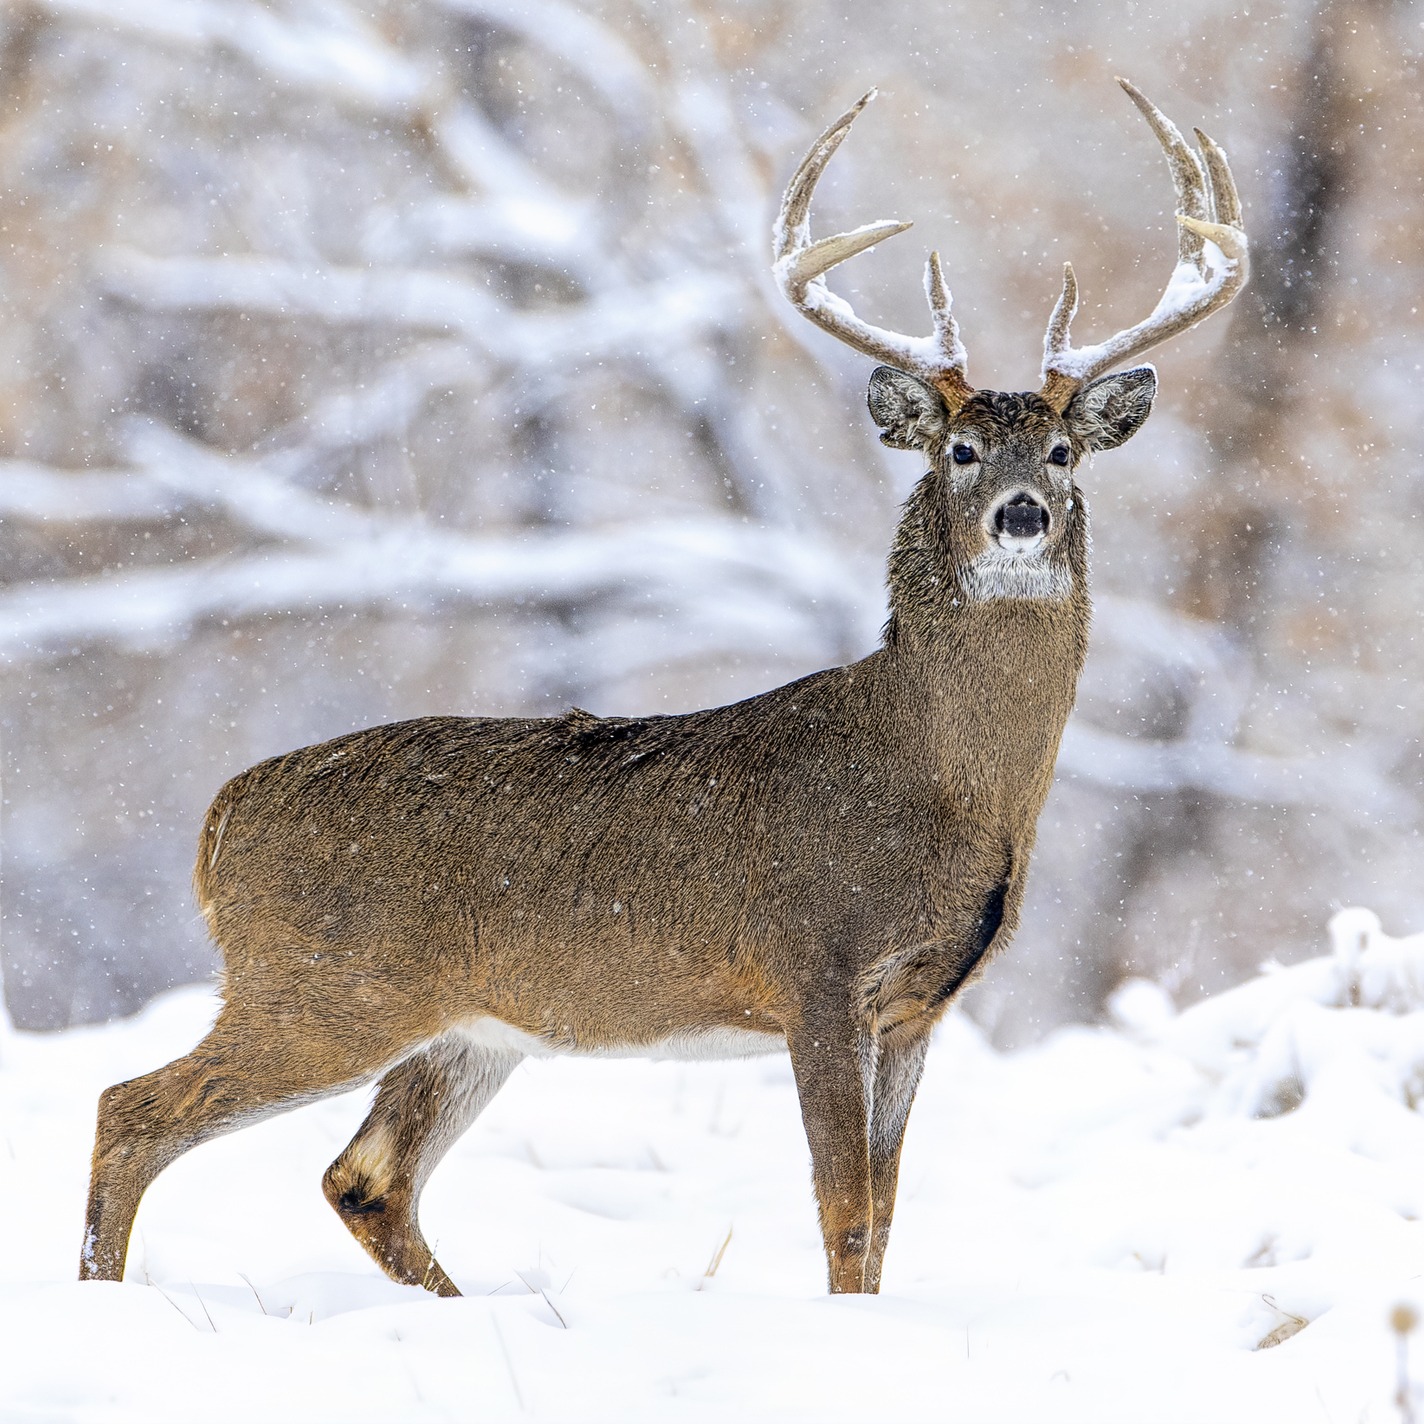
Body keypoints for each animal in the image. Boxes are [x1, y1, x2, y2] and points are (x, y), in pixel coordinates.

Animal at [79, 80, 1247, 1297]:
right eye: (959, 451)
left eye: (1064, 452)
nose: (1021, 513)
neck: (944, 783)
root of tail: (219, 821)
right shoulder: (813, 961)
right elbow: (842, 1210)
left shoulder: (919, 1005)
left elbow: (883, 1215)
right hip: (323, 982)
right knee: (133, 1107)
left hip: (464, 1026)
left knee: (363, 1175)